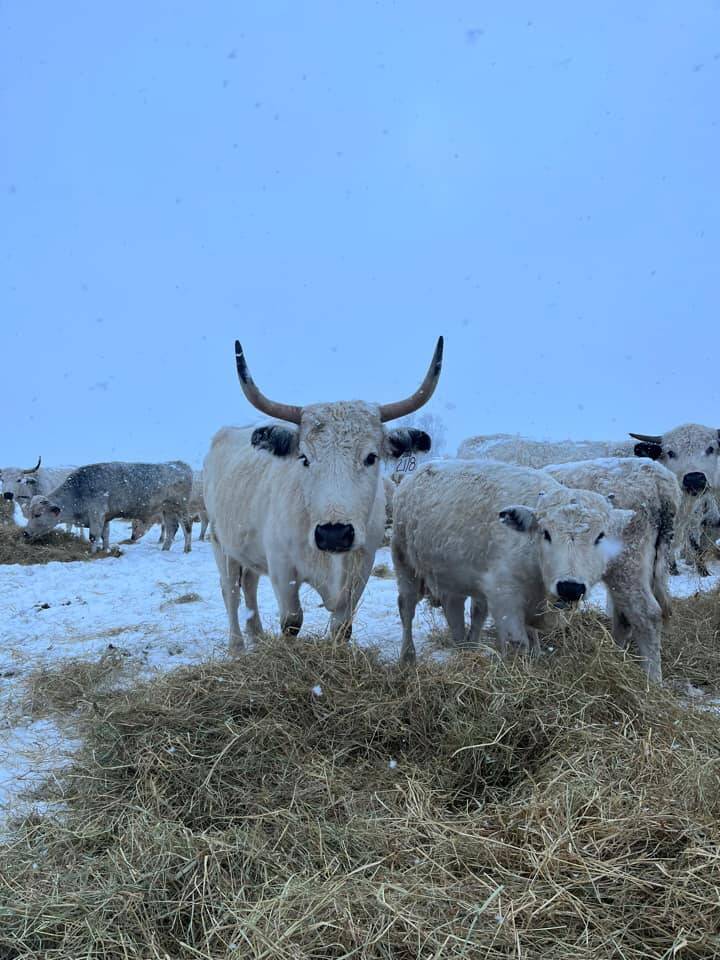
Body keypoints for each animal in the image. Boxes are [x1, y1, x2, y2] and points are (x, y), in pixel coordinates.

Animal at [24, 461, 193, 553]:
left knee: (187, 527)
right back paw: (165, 549)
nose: (25, 533)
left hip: (181, 507)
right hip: (168, 510)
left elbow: (94, 536)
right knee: (172, 528)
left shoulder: (96, 514)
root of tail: (179, 464)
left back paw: (187, 549)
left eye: (37, 514)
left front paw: (93, 553)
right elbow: (105, 536)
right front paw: (105, 551)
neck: (78, 491)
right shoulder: (105, 518)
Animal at [204, 337, 443, 653]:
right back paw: (237, 647)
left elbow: (342, 626)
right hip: (221, 543)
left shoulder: (360, 568)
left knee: (249, 585)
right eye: (304, 457)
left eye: (371, 457)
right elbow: (292, 621)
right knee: (230, 591)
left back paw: (257, 636)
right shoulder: (282, 568)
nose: (334, 534)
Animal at [391, 459, 634, 668]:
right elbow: (517, 645)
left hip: (455, 579)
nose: (570, 587)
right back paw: (408, 658)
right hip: (404, 561)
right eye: (546, 533)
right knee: (407, 607)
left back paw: (468, 650)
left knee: (465, 614)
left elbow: (532, 638)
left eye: (600, 536)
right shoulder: (505, 597)